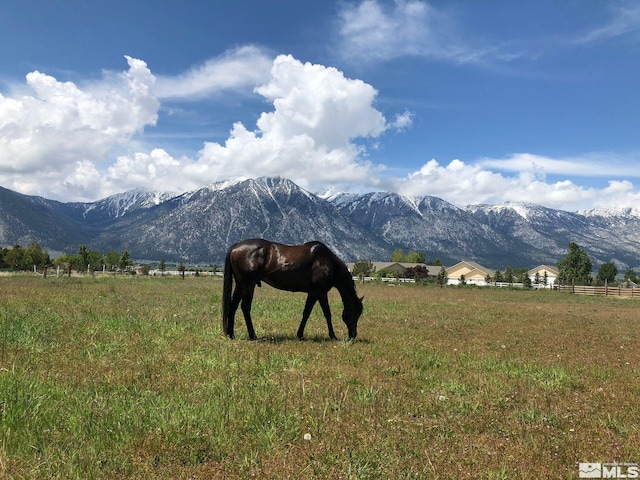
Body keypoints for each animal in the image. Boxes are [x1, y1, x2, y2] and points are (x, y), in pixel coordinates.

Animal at [222, 238, 362, 340]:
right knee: (245, 307)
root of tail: (236, 246)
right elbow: (306, 313)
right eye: (356, 313)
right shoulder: (314, 292)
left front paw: (332, 336)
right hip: (248, 285)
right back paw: (253, 335)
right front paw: (300, 335)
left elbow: (327, 313)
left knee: (233, 306)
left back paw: (231, 334)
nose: (353, 335)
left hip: (240, 285)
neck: (328, 262)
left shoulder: (322, 293)